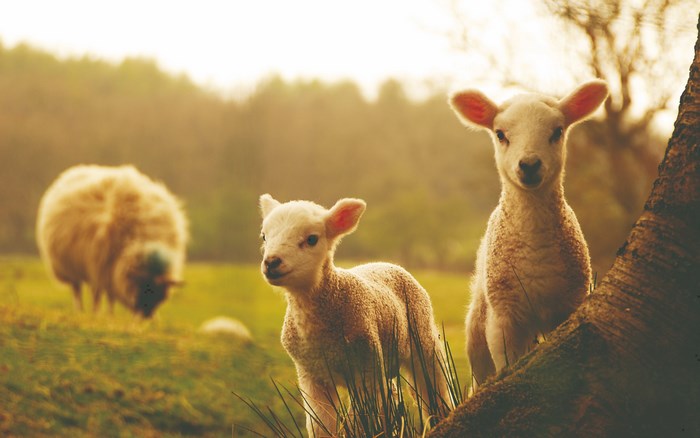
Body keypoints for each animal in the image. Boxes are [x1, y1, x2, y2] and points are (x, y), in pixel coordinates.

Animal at [36, 164, 188, 318]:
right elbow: (100, 295)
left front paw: (110, 315)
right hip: (70, 267)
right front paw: (100, 314)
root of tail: (75, 170)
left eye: (160, 296)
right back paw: (81, 310)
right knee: (77, 290)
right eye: (143, 288)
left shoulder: (111, 270)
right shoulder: (100, 266)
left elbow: (111, 295)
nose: (145, 317)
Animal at [259, 194, 450, 437]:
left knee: (434, 389)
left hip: (422, 338)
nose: (271, 263)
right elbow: (320, 424)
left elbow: (364, 421)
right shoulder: (311, 376)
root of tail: (387, 263)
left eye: (312, 239)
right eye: (264, 236)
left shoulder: (366, 367)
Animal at [448, 80, 609, 387]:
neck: (535, 246)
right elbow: (506, 365)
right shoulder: (504, 319)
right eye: (500, 134)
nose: (530, 165)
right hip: (478, 323)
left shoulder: (568, 306)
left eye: (557, 131)